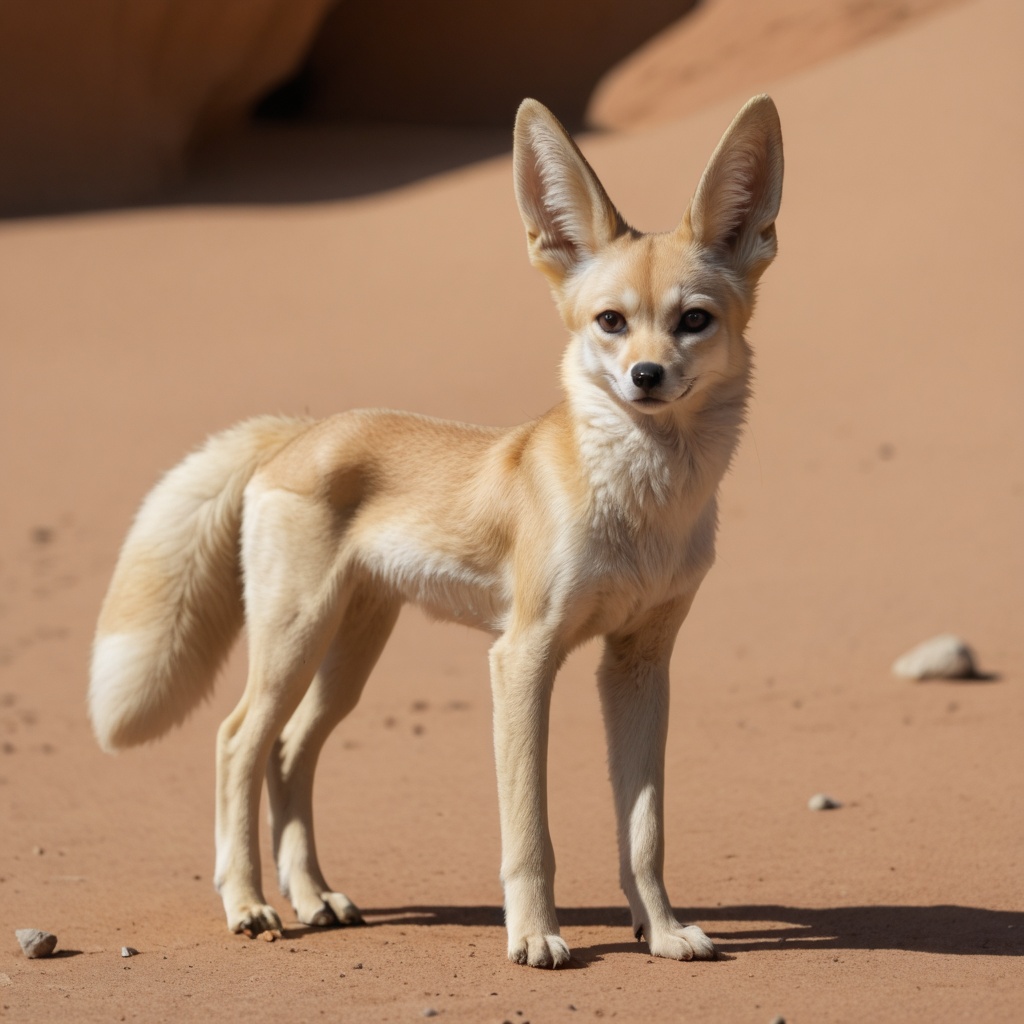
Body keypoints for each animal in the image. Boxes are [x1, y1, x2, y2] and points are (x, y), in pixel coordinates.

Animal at [89, 95, 783, 968]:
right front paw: (535, 936)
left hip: (348, 658)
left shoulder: (639, 663)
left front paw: (658, 931)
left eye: (694, 320)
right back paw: (248, 903)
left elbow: (644, 832)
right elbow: (530, 832)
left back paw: (314, 896)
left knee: (289, 752)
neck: (643, 510)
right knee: (236, 742)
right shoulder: (522, 657)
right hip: (294, 639)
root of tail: (299, 431)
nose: (646, 378)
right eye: (611, 322)